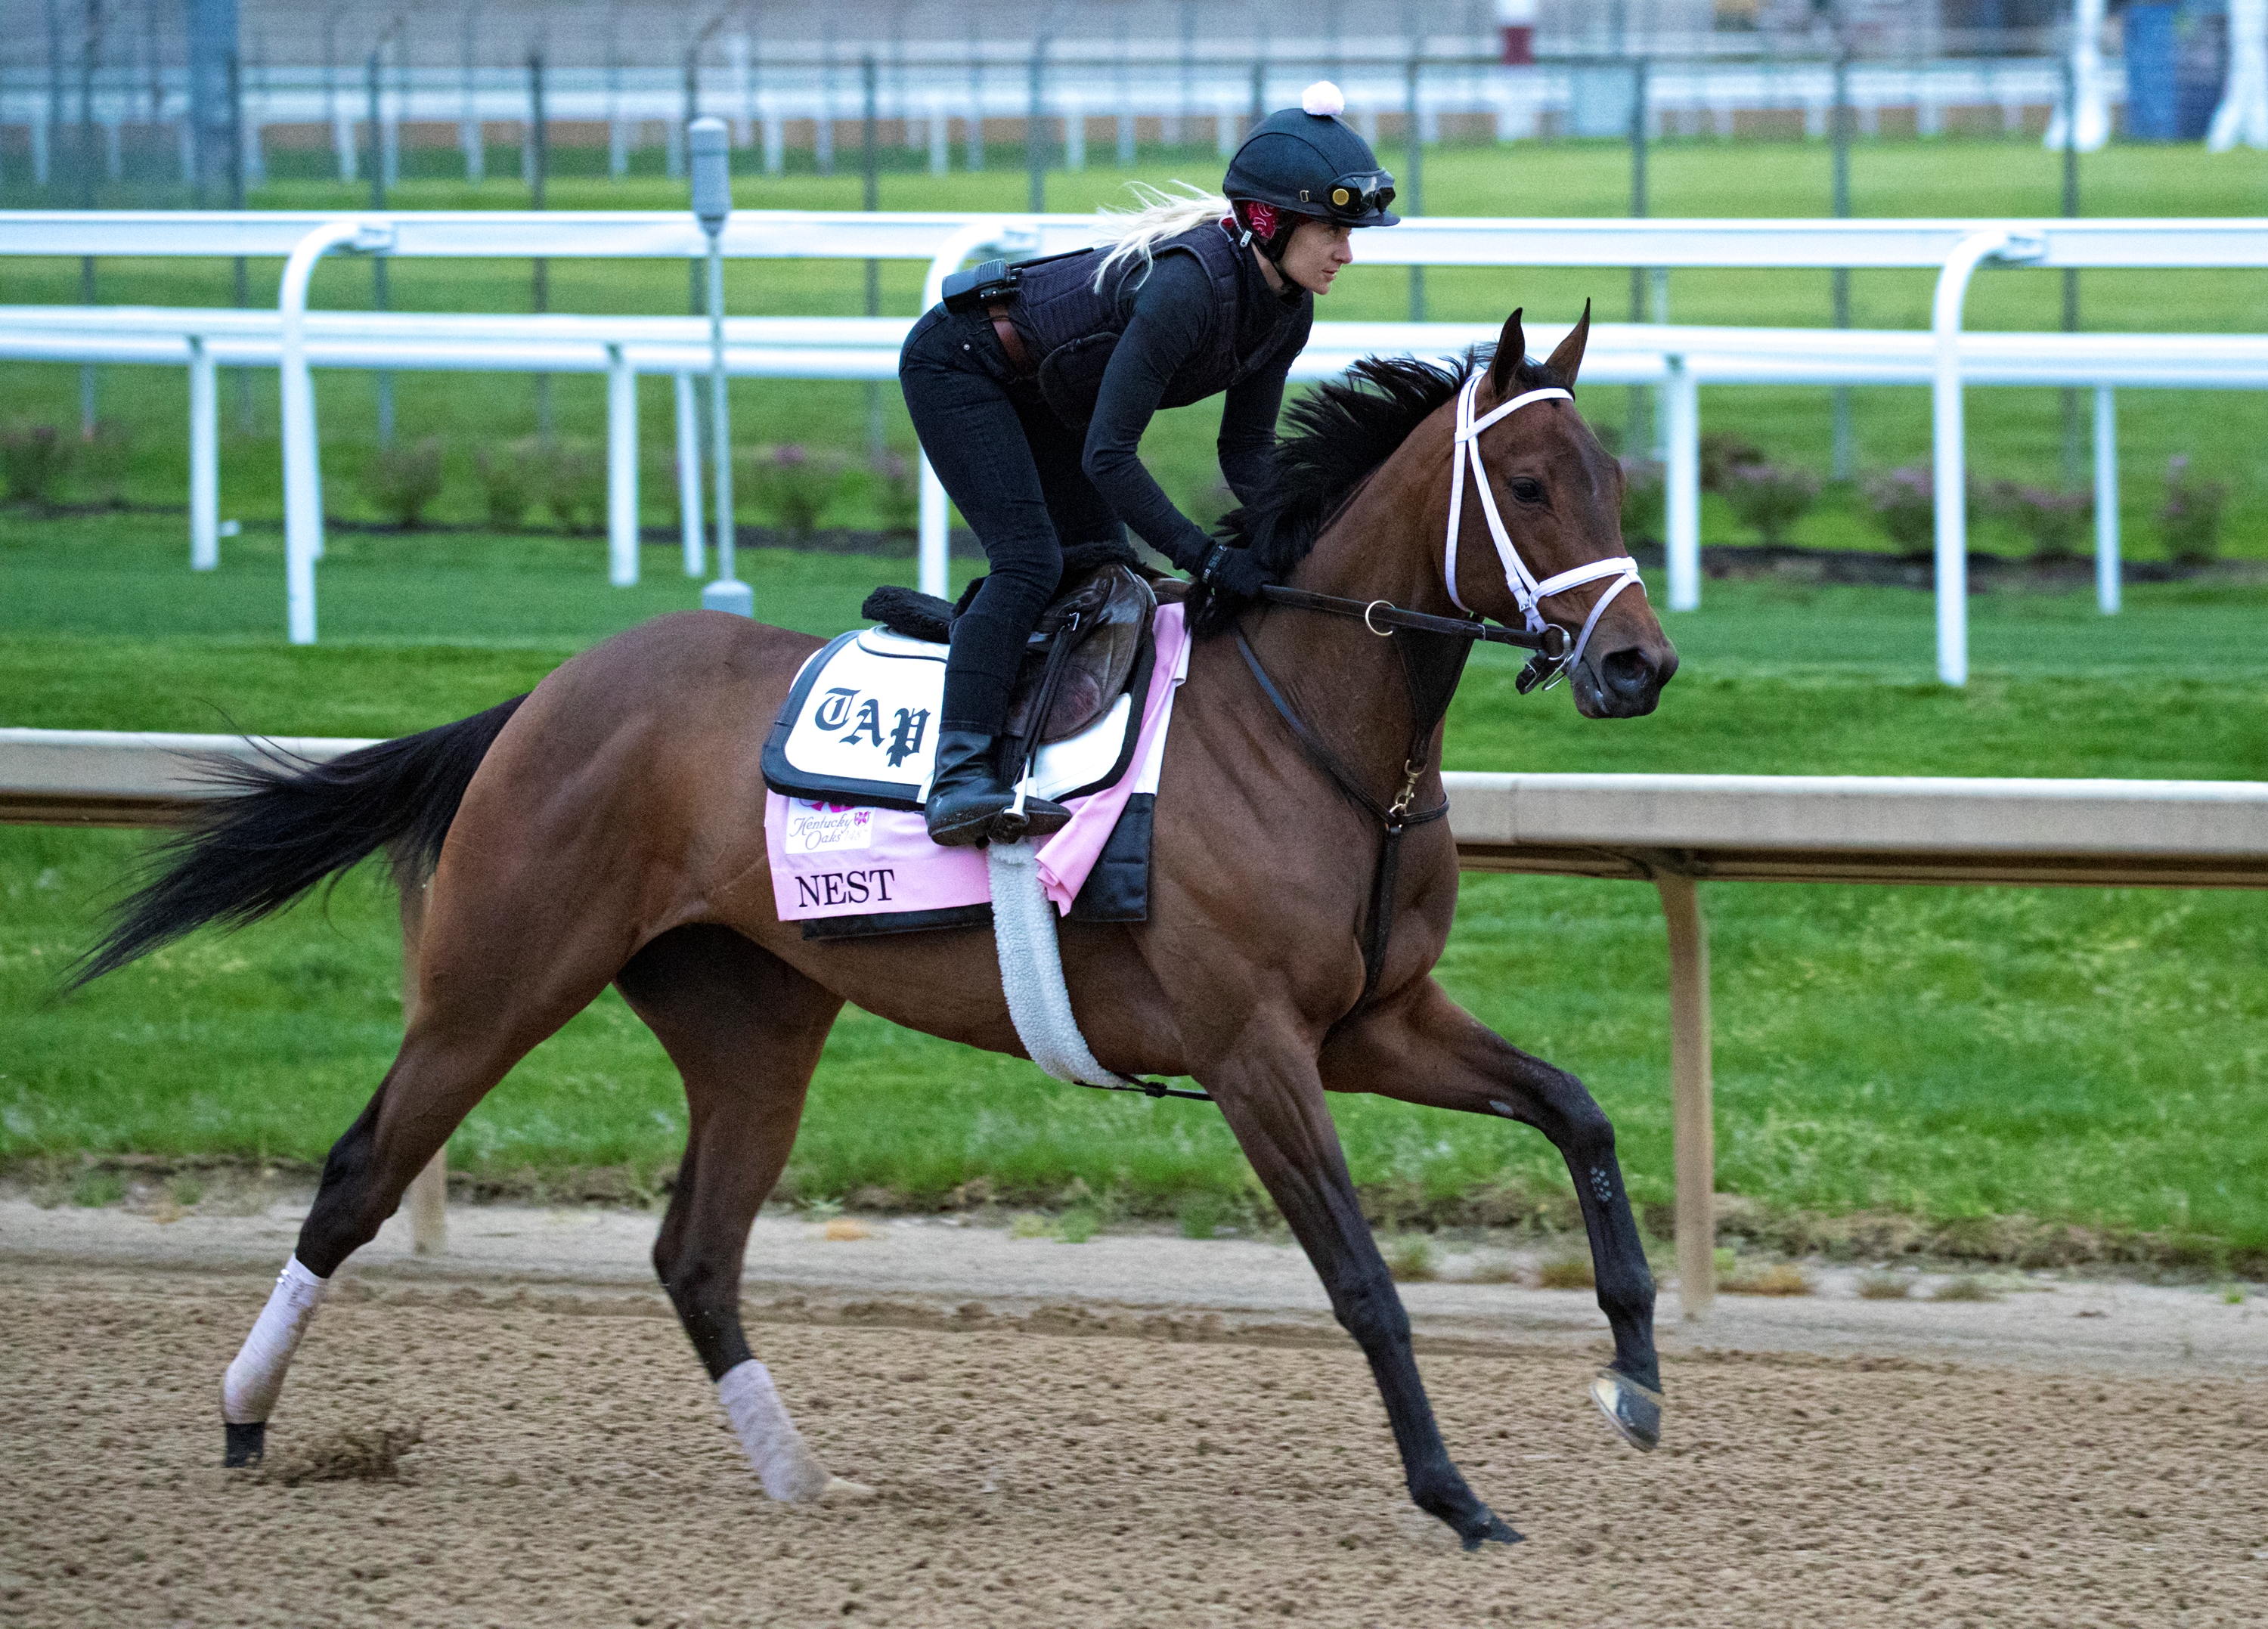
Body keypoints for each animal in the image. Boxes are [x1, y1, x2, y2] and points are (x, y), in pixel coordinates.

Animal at [84, 308, 1669, 1560]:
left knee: (696, 1254)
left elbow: (1580, 1114)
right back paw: (244, 1421)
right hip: (495, 983)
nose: (1640, 665)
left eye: (1618, 480)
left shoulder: (1374, 1022)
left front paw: (1637, 1375)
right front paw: (1455, 1495)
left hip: (751, 1024)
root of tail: (545, 695)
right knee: (360, 1176)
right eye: (1530, 483)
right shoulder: (1252, 1048)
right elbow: (1362, 1281)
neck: (1312, 731)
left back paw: (800, 1477)